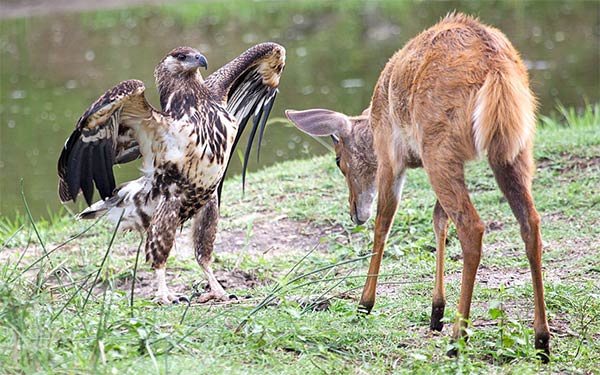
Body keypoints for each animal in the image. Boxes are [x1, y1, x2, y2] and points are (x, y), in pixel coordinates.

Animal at [286, 13, 548, 362]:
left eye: (338, 160)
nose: (355, 213)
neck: (374, 118)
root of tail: (497, 71)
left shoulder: (390, 157)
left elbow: (384, 222)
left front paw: (364, 304)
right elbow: (438, 219)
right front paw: (436, 311)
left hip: (440, 147)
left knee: (472, 226)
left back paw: (458, 338)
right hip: (513, 148)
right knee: (529, 221)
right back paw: (542, 341)